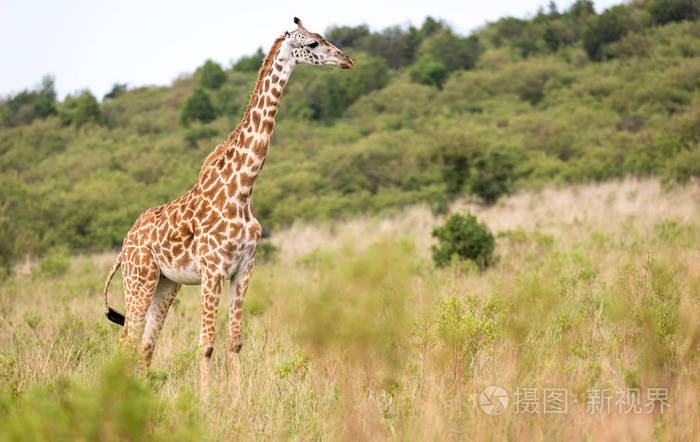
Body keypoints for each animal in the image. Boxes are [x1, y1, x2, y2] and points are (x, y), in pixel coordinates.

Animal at [101, 17, 352, 398]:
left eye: (324, 38)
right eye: (311, 44)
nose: (347, 60)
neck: (243, 189)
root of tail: (124, 245)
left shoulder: (244, 268)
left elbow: (234, 341)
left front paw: (236, 400)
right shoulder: (213, 270)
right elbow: (205, 343)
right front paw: (205, 402)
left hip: (165, 284)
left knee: (145, 344)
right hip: (139, 279)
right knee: (126, 342)